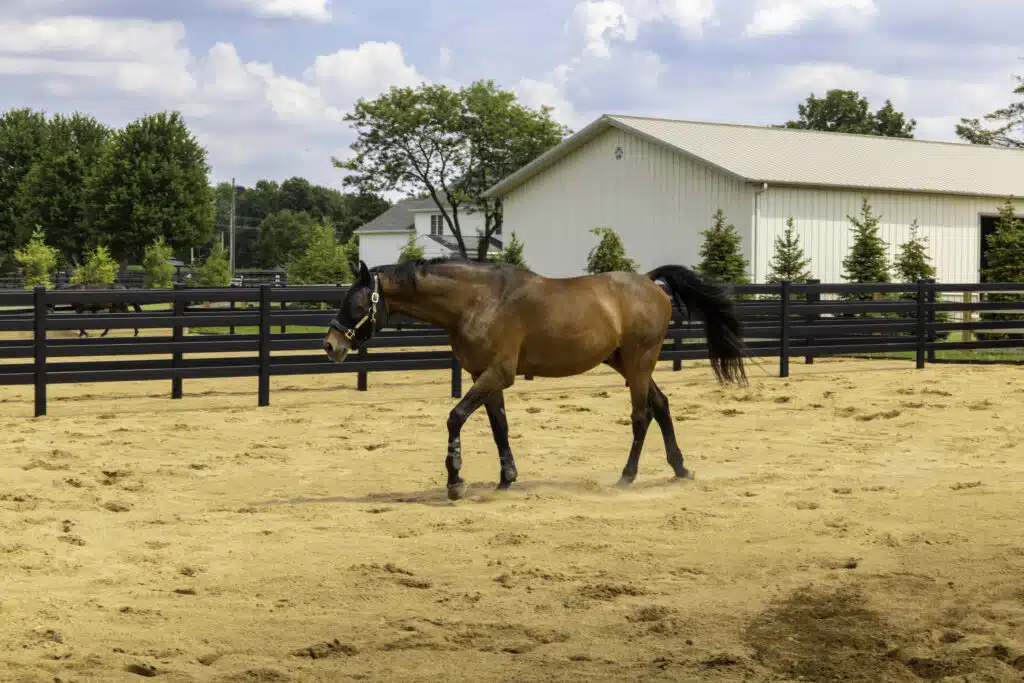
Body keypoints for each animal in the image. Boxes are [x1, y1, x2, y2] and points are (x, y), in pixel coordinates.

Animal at [322, 258, 748, 501]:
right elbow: (500, 427)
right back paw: (680, 469)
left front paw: (455, 480)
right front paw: (506, 478)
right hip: (627, 363)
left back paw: (627, 477)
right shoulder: (483, 375)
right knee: (661, 406)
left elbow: (455, 417)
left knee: (641, 416)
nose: (330, 345)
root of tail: (648, 282)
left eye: (355, 303)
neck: (478, 301)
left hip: (640, 362)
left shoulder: (498, 374)